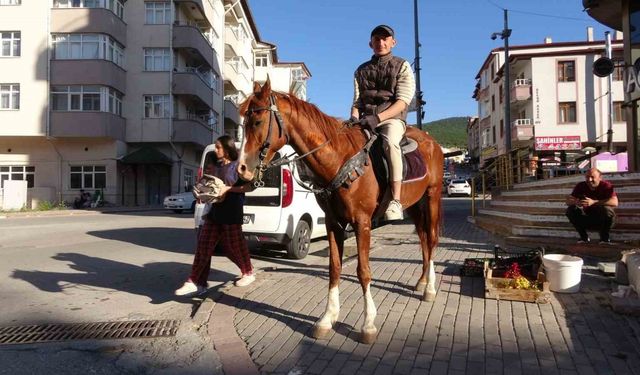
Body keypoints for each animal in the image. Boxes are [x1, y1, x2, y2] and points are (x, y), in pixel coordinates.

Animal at [238, 79, 442, 344]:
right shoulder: (333, 224)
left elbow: (363, 271)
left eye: (258, 122)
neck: (339, 159)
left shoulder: (362, 223)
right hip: (415, 205)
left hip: (432, 197)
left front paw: (368, 324)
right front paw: (327, 318)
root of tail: (432, 143)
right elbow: (334, 268)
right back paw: (422, 281)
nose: (242, 168)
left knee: (432, 239)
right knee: (424, 240)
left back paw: (430, 288)